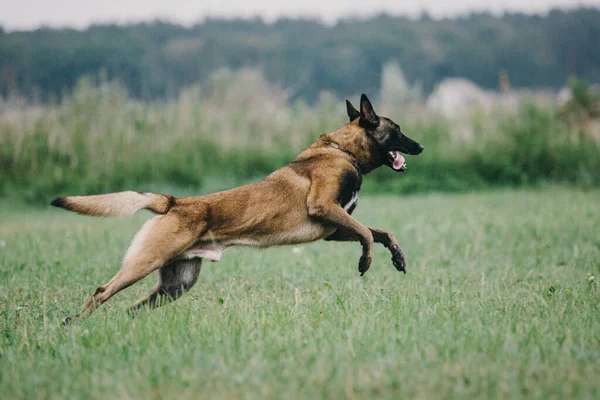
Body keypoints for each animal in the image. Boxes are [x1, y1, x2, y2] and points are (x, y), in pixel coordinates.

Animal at [54, 93, 424, 322]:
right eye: (398, 130)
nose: (421, 146)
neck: (342, 151)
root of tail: (175, 201)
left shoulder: (333, 228)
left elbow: (382, 232)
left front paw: (398, 257)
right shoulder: (325, 210)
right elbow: (367, 234)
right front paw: (365, 262)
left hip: (177, 284)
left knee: (133, 309)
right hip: (146, 262)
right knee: (102, 291)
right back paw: (73, 324)